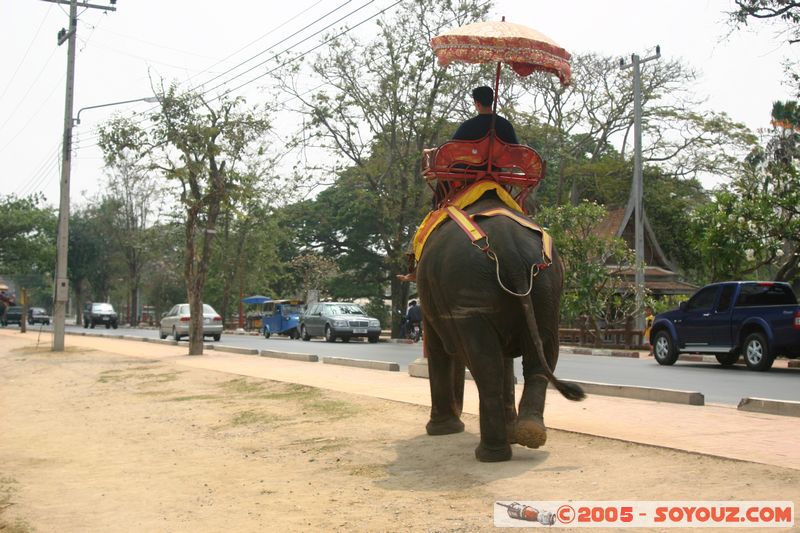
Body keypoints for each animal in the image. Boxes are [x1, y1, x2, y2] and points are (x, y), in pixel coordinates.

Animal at [416, 191, 584, 462]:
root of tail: (509, 248)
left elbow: (437, 346)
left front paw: (442, 430)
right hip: (547, 291)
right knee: (539, 354)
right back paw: (528, 433)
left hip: (472, 291)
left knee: (486, 364)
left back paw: (491, 453)